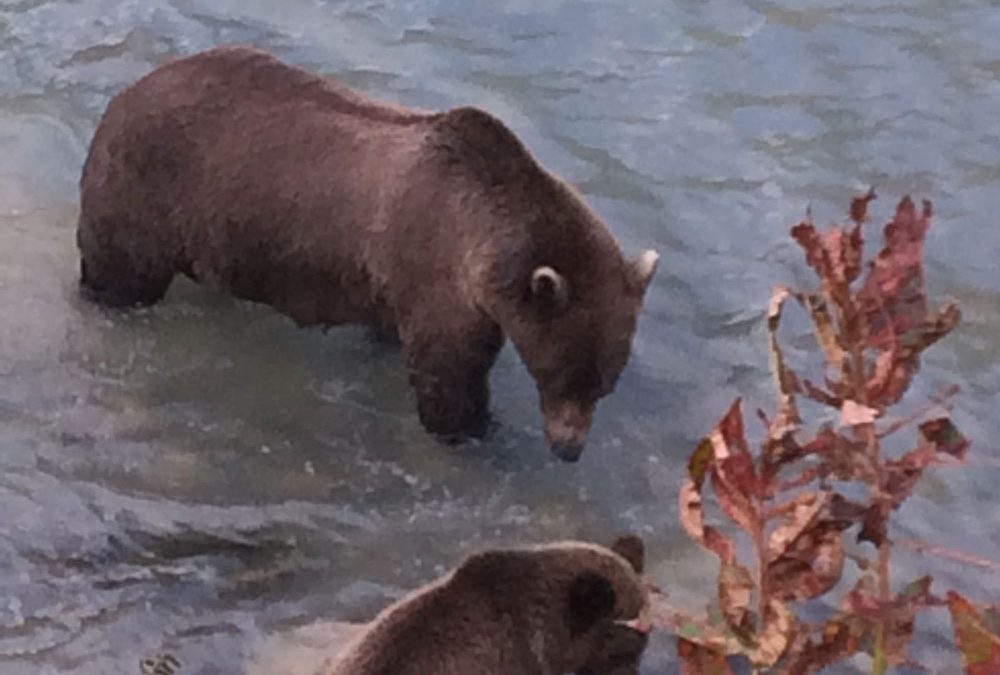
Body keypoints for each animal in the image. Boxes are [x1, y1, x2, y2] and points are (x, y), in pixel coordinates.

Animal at [77, 46, 659, 461]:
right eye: (563, 373)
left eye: (604, 383)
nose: (569, 449)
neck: (485, 239)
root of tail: (125, 93)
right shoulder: (438, 275)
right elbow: (448, 378)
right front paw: (478, 431)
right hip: (146, 190)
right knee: (120, 270)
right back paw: (106, 300)